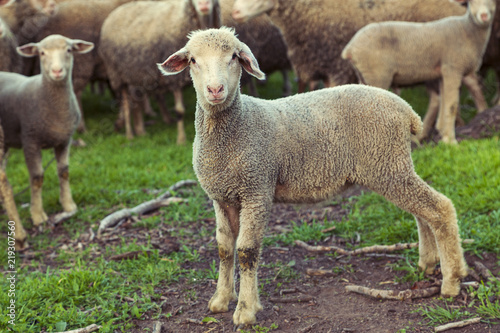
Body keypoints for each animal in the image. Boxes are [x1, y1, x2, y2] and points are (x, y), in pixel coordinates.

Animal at [0, 34, 93, 226]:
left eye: (69, 50)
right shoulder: (30, 141)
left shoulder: (64, 140)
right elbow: (37, 178)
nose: (57, 71)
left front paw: (69, 205)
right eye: (42, 53)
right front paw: (37, 215)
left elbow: (64, 172)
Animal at [98, 0, 220, 141]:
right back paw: (129, 135)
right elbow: (179, 110)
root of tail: (114, 13)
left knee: (135, 102)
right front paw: (181, 139)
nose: (203, 4)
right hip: (117, 75)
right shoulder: (175, 79)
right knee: (127, 105)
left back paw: (140, 131)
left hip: (134, 74)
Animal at [159, 26, 468, 326]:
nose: (215, 89)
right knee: (422, 212)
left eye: (234, 57)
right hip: (393, 166)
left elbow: (247, 251)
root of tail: (406, 111)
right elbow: (224, 249)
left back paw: (452, 281)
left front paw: (245, 311)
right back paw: (429, 263)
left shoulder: (257, 188)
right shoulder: (222, 196)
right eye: (193, 60)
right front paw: (221, 300)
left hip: (386, 163)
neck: (238, 126)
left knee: (439, 208)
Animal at [342, 0, 494, 144]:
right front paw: (451, 141)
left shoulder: (443, 73)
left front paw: (443, 134)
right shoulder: (452, 68)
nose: (484, 16)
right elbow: (452, 106)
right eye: (471, 2)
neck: (467, 29)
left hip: (364, 77)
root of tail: (350, 48)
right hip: (377, 76)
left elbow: (444, 103)